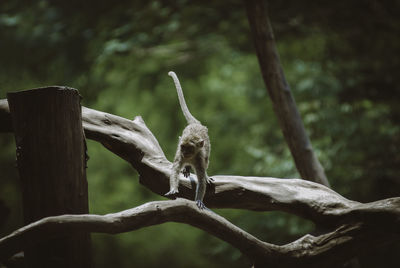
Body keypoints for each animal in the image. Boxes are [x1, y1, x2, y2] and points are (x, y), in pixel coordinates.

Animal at [164, 71, 212, 209]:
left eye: (189, 147)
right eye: (183, 147)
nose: (185, 153)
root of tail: (196, 123)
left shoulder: (199, 158)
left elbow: (201, 179)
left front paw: (199, 199)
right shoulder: (179, 154)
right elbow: (175, 169)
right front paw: (173, 189)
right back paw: (186, 168)